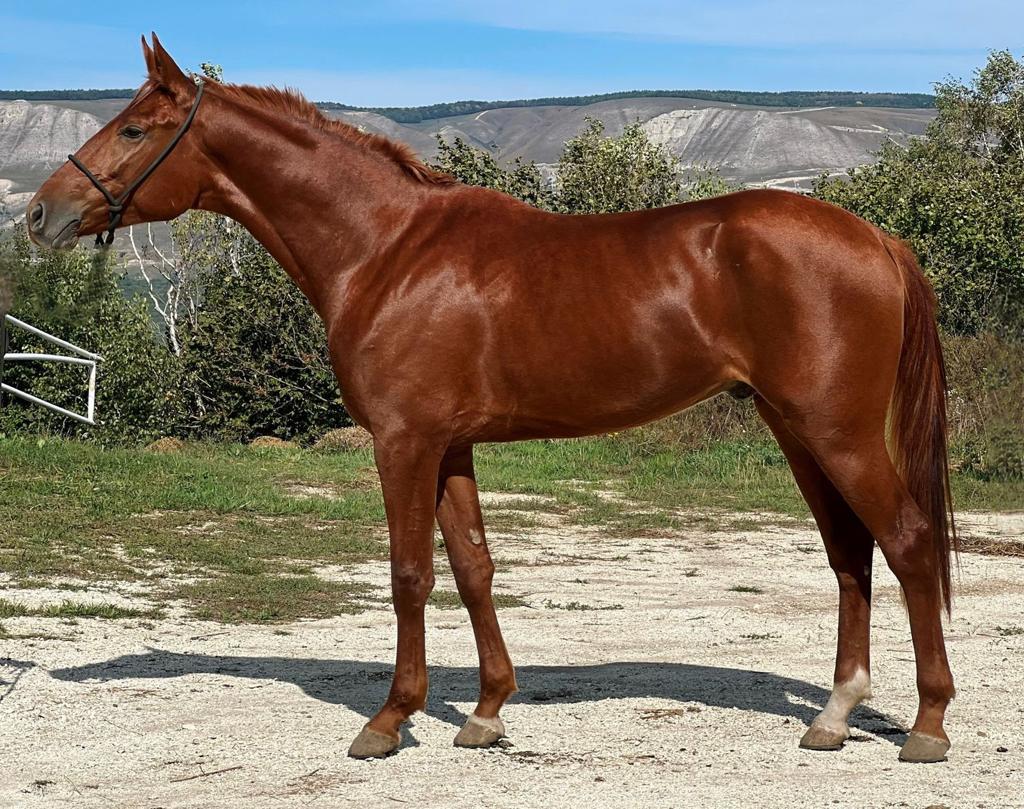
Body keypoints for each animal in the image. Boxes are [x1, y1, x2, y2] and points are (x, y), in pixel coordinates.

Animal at [28, 34, 958, 763]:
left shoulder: (402, 440)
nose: (39, 214)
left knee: (908, 541)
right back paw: (834, 716)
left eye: (134, 127)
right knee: (850, 554)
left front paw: (389, 720)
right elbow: (473, 567)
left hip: (836, 430)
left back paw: (927, 723)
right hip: (796, 429)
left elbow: (409, 573)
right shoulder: (451, 444)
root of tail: (876, 236)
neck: (386, 249)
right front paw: (484, 713)